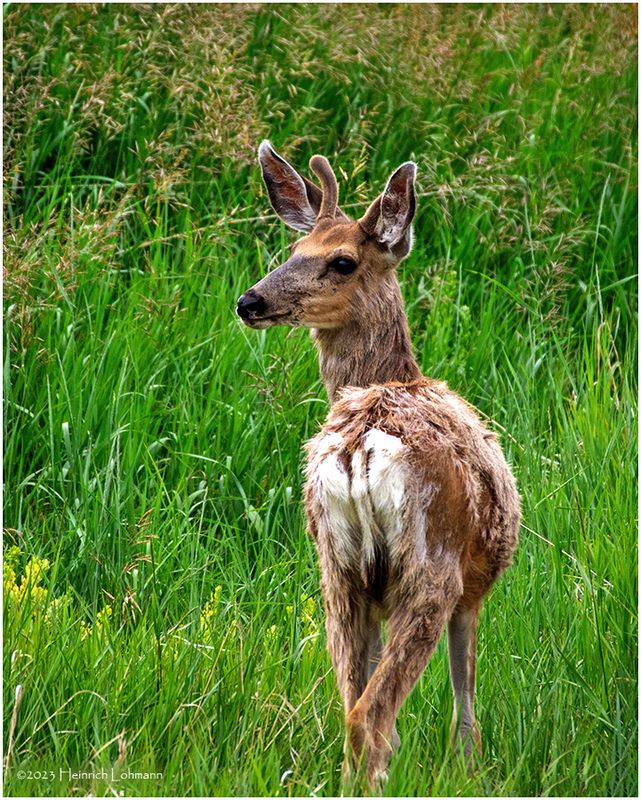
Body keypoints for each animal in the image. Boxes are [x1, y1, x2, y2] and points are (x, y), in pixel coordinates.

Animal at [236, 141, 520, 788]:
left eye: (340, 261)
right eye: (295, 252)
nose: (249, 300)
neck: (396, 377)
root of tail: (359, 449)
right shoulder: (474, 586)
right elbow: (466, 692)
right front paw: (469, 770)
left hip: (335, 569)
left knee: (349, 706)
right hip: (429, 566)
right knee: (373, 713)